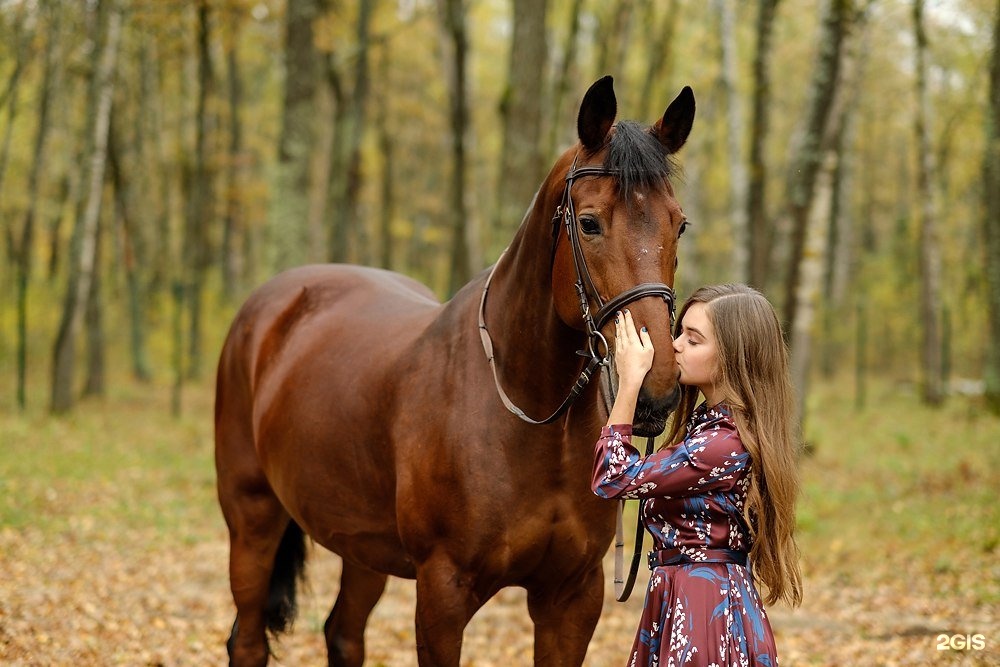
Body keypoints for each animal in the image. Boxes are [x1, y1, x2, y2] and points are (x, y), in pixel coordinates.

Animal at [213, 75, 696, 664]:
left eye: (679, 225)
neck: (530, 416)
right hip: (251, 518)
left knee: (343, 634)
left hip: (362, 546)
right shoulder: (443, 592)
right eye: (589, 224)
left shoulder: (572, 598)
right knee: (249, 639)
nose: (656, 389)